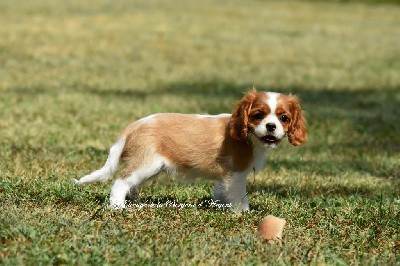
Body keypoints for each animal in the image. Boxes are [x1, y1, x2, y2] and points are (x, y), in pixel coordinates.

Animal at [74, 89, 306, 212]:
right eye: (258, 115)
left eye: (284, 118)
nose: (271, 126)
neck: (248, 136)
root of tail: (135, 125)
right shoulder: (236, 175)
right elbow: (240, 196)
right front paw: (243, 214)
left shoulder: (225, 177)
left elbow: (221, 191)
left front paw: (219, 205)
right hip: (146, 163)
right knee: (121, 181)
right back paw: (117, 206)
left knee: (131, 184)